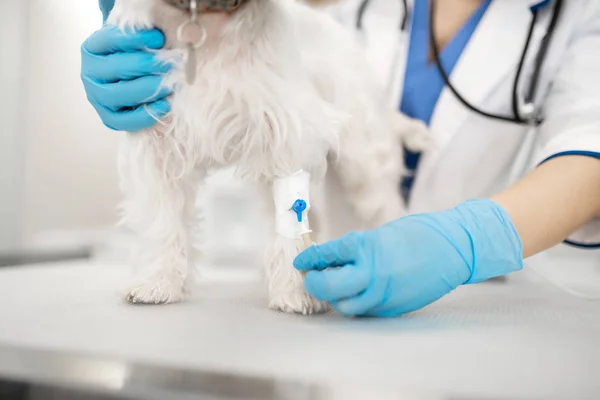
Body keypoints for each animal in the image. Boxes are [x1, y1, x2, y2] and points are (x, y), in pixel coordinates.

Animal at [106, 0, 426, 312]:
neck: (202, 19)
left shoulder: (286, 132)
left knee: (382, 204)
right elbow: (161, 220)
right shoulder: (154, 136)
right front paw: (157, 282)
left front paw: (297, 291)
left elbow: (291, 220)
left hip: (362, 158)